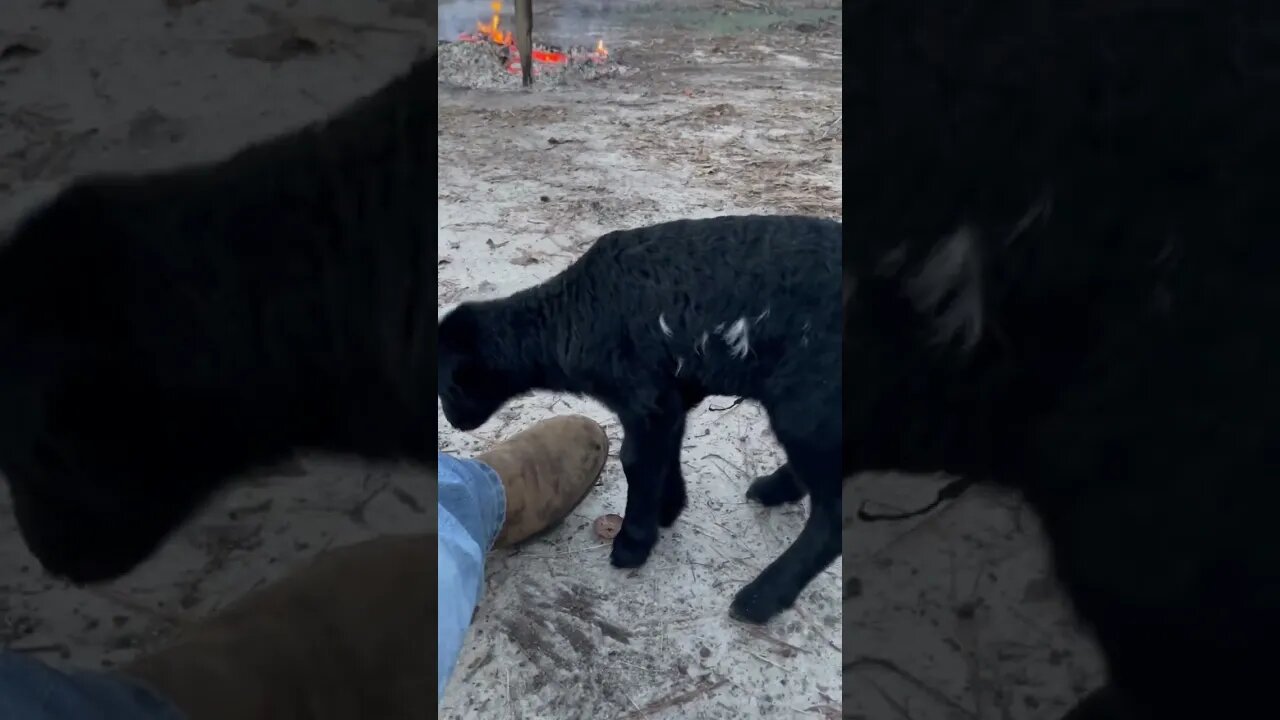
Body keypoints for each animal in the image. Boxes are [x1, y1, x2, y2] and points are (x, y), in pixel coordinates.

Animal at [435, 213, 844, 622]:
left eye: (450, 386)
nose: (454, 422)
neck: (571, 319)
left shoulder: (643, 395)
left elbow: (635, 460)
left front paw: (633, 543)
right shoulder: (667, 397)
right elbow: (664, 452)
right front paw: (669, 507)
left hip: (808, 399)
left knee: (833, 515)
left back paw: (761, 597)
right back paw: (772, 491)